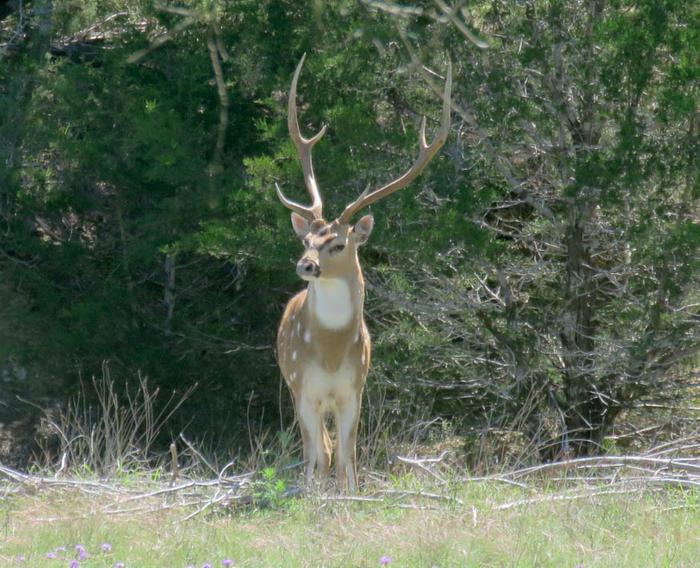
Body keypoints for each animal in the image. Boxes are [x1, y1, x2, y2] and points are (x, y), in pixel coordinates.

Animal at [276, 56, 452, 492]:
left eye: (338, 244)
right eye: (307, 240)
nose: (306, 265)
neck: (331, 353)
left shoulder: (354, 390)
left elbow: (347, 460)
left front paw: (351, 498)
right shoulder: (305, 388)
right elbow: (317, 458)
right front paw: (313, 498)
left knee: (330, 449)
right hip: (291, 385)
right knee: (315, 448)